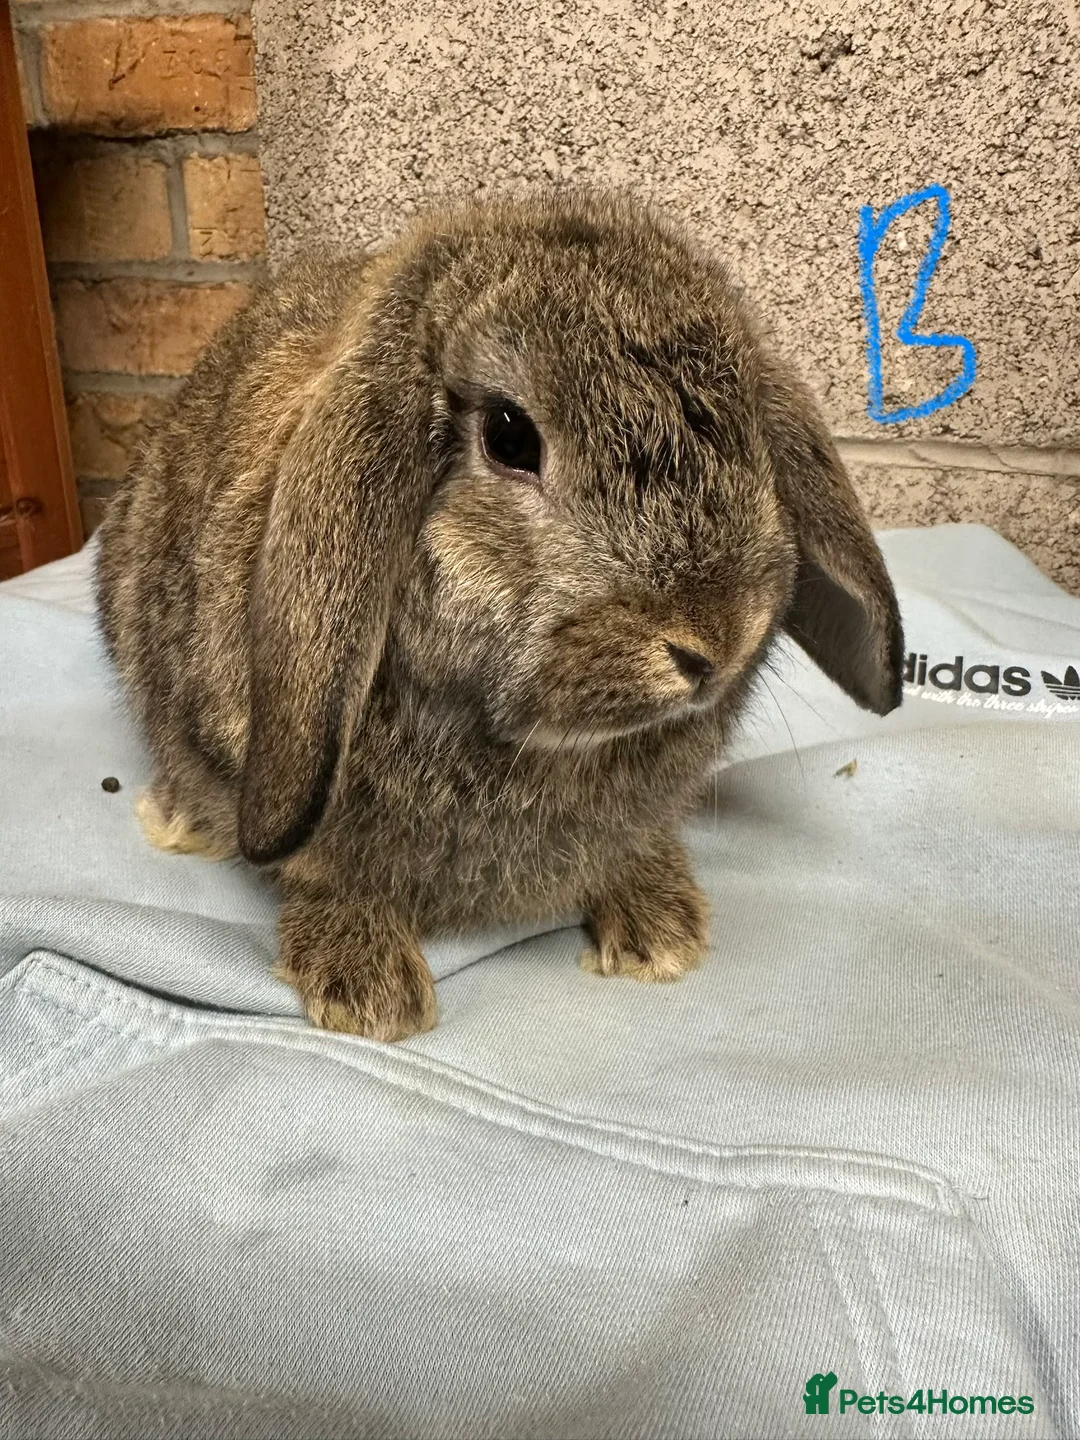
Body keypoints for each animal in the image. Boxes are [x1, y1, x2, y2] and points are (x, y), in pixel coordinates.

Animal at [95, 188, 903, 1042]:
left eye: (748, 427)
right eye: (510, 437)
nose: (717, 639)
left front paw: (660, 934)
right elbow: (320, 868)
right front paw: (369, 992)